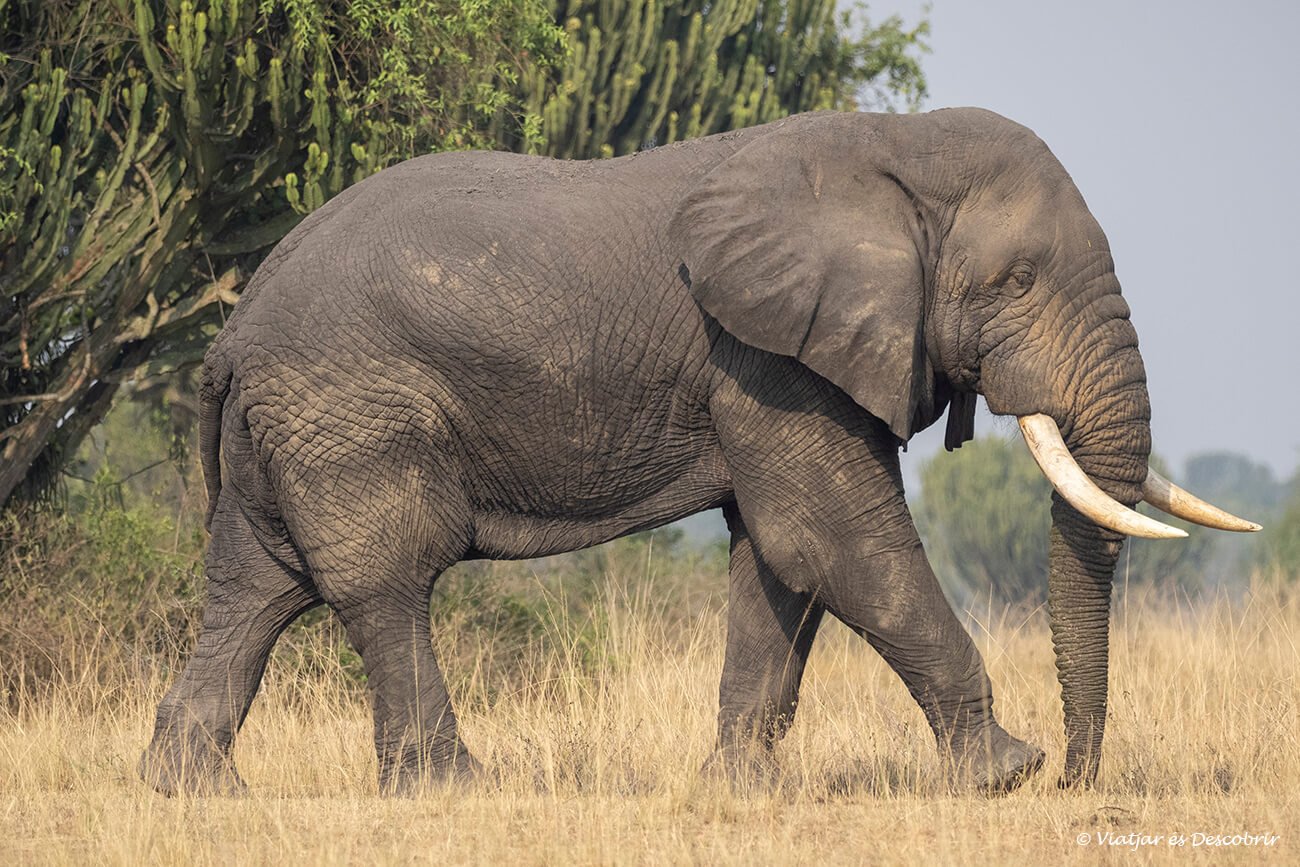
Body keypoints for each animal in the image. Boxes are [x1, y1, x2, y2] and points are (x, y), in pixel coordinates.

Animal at [138, 108, 1257, 797]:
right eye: (1016, 280)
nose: (1077, 774)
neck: (891, 147)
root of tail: (232, 333)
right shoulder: (765, 352)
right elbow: (834, 540)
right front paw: (1002, 776)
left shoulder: (778, 353)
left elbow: (778, 559)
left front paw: (745, 790)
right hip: (352, 414)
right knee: (383, 583)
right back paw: (447, 789)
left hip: (291, 429)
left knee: (255, 590)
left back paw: (194, 793)